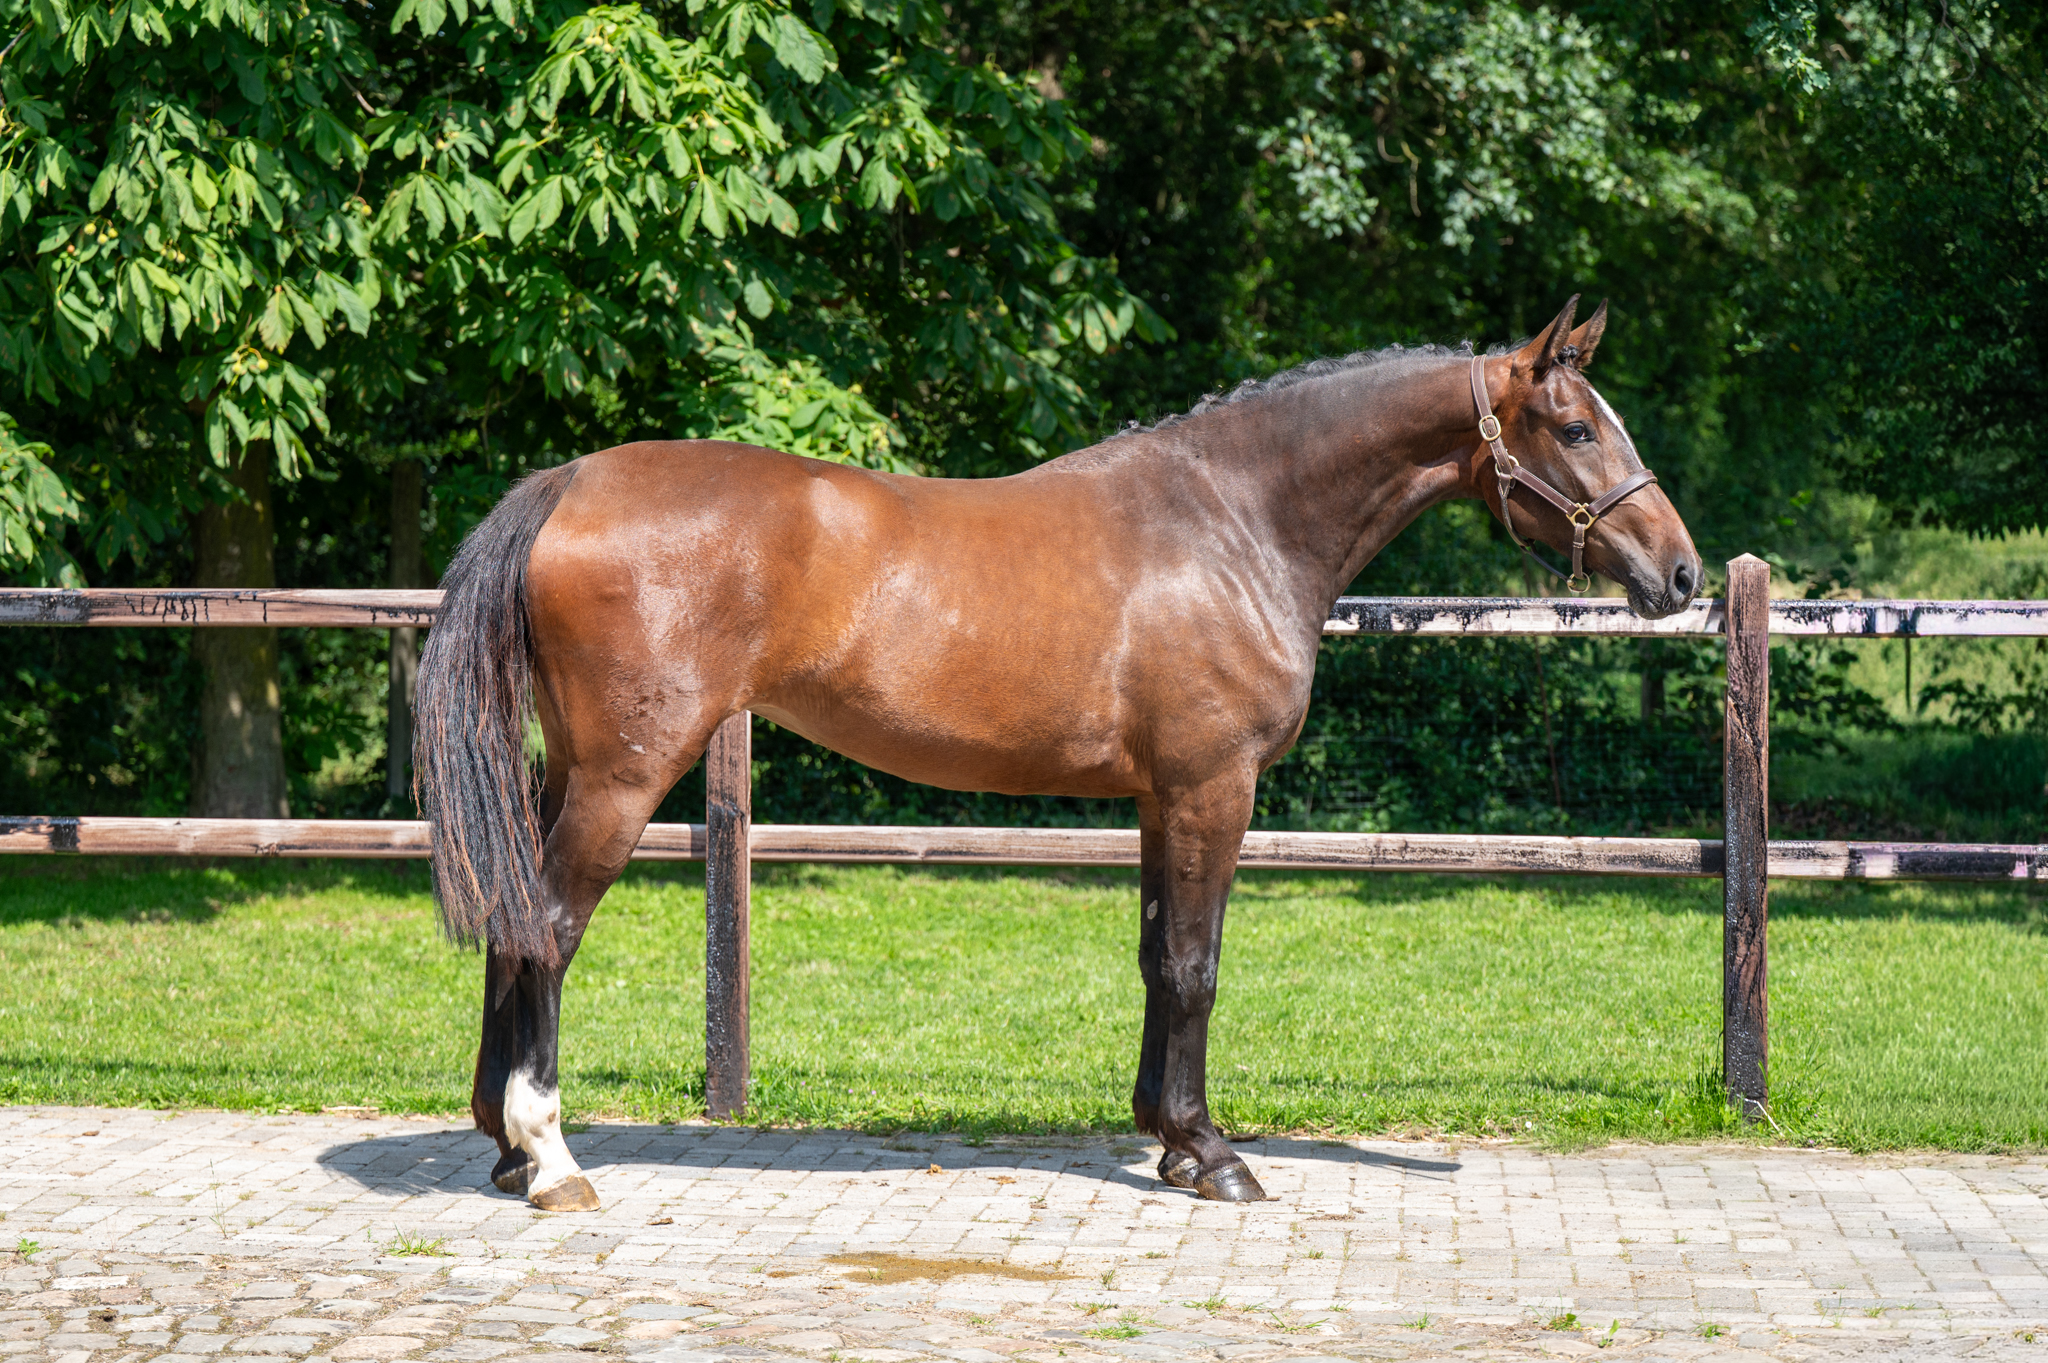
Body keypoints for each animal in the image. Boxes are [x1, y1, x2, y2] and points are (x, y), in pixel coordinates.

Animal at [414, 296, 1702, 1211]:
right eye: (1575, 428)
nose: (1681, 573)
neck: (1229, 523)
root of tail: (569, 480)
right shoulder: (1213, 787)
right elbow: (1196, 965)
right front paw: (1214, 1155)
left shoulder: (1157, 797)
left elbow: (1155, 961)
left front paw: (1169, 1140)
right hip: (625, 775)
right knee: (547, 928)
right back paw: (549, 1156)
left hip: (567, 769)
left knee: (513, 919)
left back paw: (502, 1148)